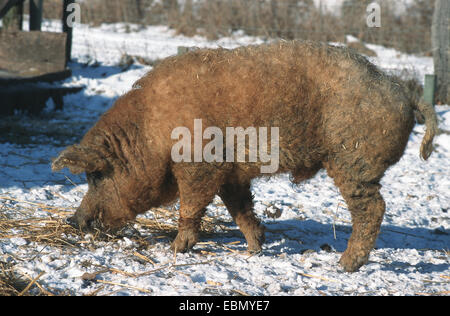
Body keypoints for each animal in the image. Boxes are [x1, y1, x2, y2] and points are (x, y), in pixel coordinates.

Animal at [51, 40, 436, 272]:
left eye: (97, 176)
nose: (74, 220)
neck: (150, 133)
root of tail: (404, 94)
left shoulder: (199, 166)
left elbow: (191, 206)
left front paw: (176, 249)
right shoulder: (230, 173)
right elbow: (240, 208)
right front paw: (254, 249)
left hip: (352, 162)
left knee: (373, 208)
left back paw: (344, 265)